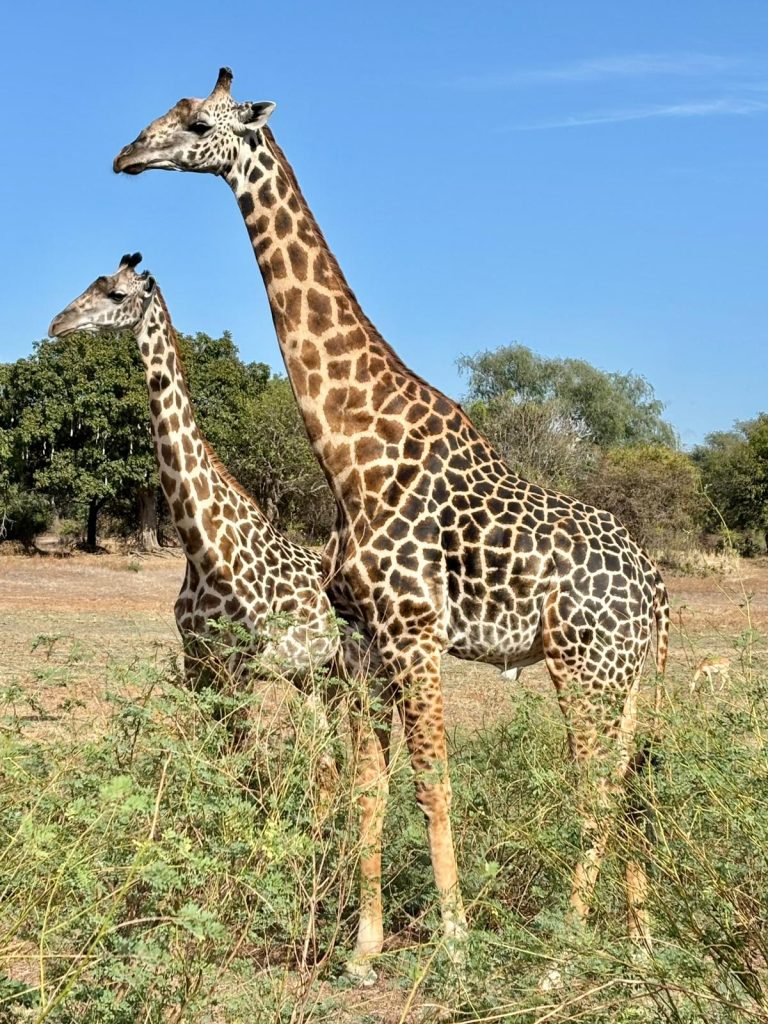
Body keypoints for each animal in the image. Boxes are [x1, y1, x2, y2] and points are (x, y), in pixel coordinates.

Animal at [114, 69, 671, 977]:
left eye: (196, 123)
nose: (127, 155)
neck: (349, 451)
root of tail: (658, 589)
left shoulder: (414, 632)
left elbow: (434, 779)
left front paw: (455, 942)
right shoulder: (367, 643)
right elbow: (370, 784)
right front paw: (363, 949)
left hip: (584, 667)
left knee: (595, 787)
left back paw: (563, 950)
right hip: (623, 676)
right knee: (628, 781)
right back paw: (640, 941)